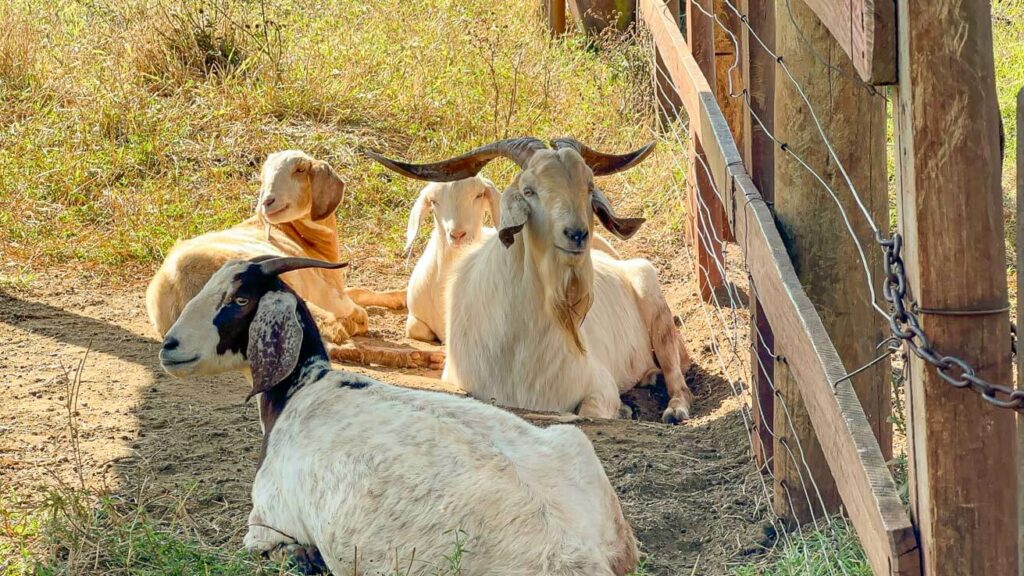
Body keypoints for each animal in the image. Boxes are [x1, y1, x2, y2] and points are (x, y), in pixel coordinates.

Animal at [157, 255, 638, 573]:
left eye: (239, 299)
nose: (169, 346)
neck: (303, 389)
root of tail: (580, 556)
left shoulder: (266, 525)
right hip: (572, 445)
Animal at [368, 136, 696, 420]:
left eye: (588, 186)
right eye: (529, 191)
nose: (576, 234)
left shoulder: (598, 386)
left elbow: (588, 411)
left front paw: (625, 409)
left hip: (655, 304)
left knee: (678, 380)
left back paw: (674, 409)